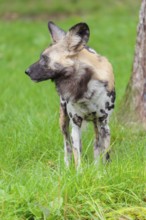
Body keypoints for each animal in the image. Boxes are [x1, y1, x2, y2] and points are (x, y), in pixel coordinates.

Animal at [25, 21, 116, 168]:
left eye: (44, 58)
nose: (26, 71)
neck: (85, 88)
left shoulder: (104, 124)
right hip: (63, 122)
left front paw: (103, 171)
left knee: (96, 145)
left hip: (96, 124)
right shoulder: (75, 125)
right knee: (67, 146)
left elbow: (105, 154)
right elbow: (77, 156)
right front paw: (79, 172)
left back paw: (96, 167)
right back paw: (67, 168)